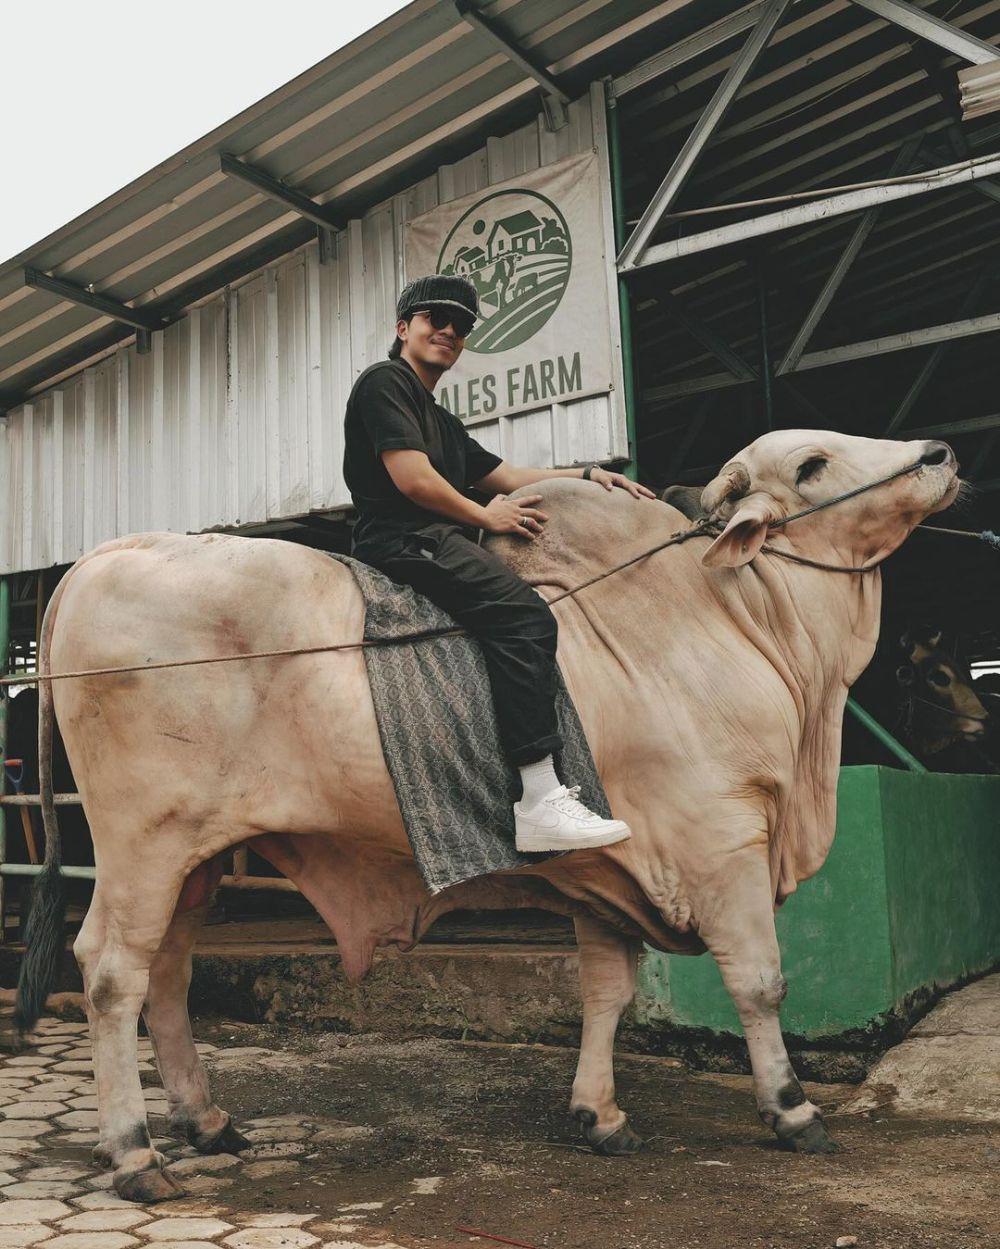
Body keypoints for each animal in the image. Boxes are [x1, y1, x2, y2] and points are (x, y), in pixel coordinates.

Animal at [11, 429, 953, 1199]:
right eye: (813, 463)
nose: (939, 454)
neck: (728, 618)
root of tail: (92, 565)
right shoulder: (724, 842)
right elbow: (760, 981)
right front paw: (792, 1109)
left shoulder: (613, 873)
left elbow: (606, 991)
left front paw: (599, 1114)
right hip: (141, 843)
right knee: (110, 971)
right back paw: (134, 1153)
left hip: (196, 856)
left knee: (167, 972)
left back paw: (206, 1120)